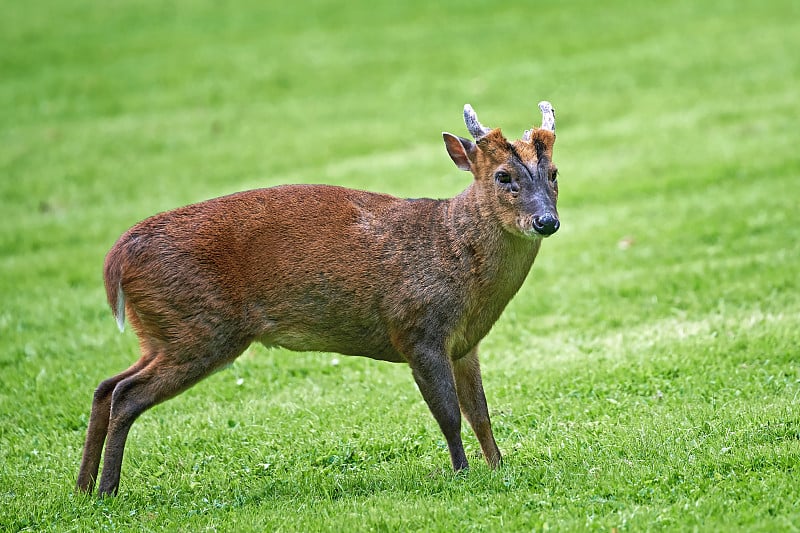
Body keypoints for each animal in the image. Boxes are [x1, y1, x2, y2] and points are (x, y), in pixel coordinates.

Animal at [78, 103, 560, 494]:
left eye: (554, 174)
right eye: (503, 176)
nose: (546, 221)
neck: (454, 253)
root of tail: (116, 258)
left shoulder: (465, 343)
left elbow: (480, 413)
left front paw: (498, 468)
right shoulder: (417, 329)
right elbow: (449, 414)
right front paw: (462, 474)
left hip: (163, 331)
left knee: (105, 386)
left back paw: (83, 489)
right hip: (198, 327)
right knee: (126, 393)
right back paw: (107, 490)